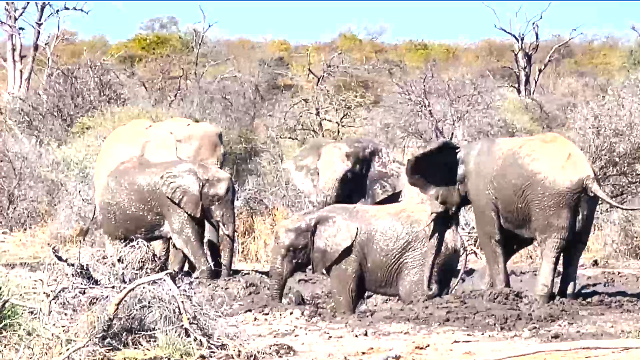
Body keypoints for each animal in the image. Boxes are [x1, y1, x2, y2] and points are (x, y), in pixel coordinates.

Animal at [268, 202, 462, 316]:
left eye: (293, 250)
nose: (282, 305)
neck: (314, 216)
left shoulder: (348, 252)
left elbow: (345, 289)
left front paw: (343, 316)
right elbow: (356, 289)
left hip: (418, 255)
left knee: (412, 293)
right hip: (447, 255)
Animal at [404, 132, 640, 304]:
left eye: (437, 199)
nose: (433, 292)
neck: (463, 151)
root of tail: (587, 176)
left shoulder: (481, 192)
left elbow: (491, 235)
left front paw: (499, 293)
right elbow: (514, 240)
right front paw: (482, 288)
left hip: (551, 200)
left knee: (552, 244)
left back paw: (538, 299)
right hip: (586, 202)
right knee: (576, 246)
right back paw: (565, 297)